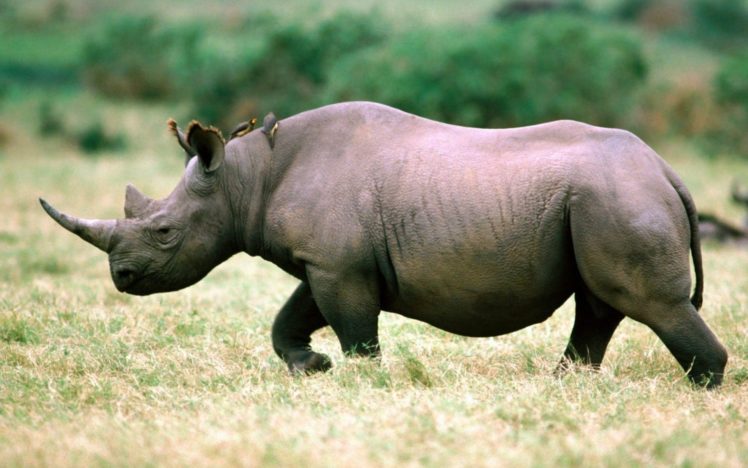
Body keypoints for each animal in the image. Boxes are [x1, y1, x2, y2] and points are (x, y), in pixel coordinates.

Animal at [40, 102, 727, 387]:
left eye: (163, 233)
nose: (122, 279)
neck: (245, 178)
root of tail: (668, 170)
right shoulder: (329, 261)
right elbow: (290, 318)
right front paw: (312, 368)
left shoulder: (339, 266)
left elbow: (355, 331)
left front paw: (363, 381)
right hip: (605, 198)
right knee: (601, 303)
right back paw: (564, 386)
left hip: (617, 197)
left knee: (650, 303)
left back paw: (703, 389)